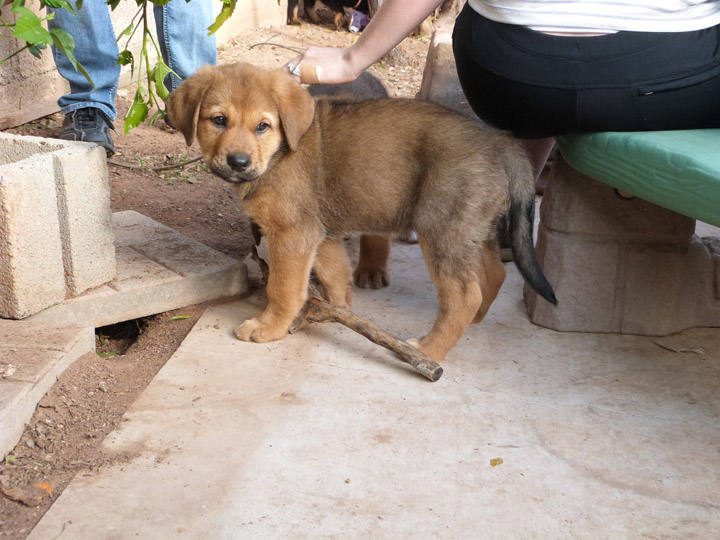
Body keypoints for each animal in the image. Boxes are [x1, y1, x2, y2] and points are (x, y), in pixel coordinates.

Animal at [169, 61, 556, 360]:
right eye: (218, 120)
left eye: (262, 126)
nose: (238, 162)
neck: (279, 153)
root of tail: (500, 142)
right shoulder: (319, 234)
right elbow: (335, 276)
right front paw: (337, 313)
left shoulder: (293, 234)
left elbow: (283, 288)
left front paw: (269, 327)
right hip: (472, 230)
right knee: (494, 274)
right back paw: (472, 323)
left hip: (442, 228)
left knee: (464, 294)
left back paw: (428, 350)